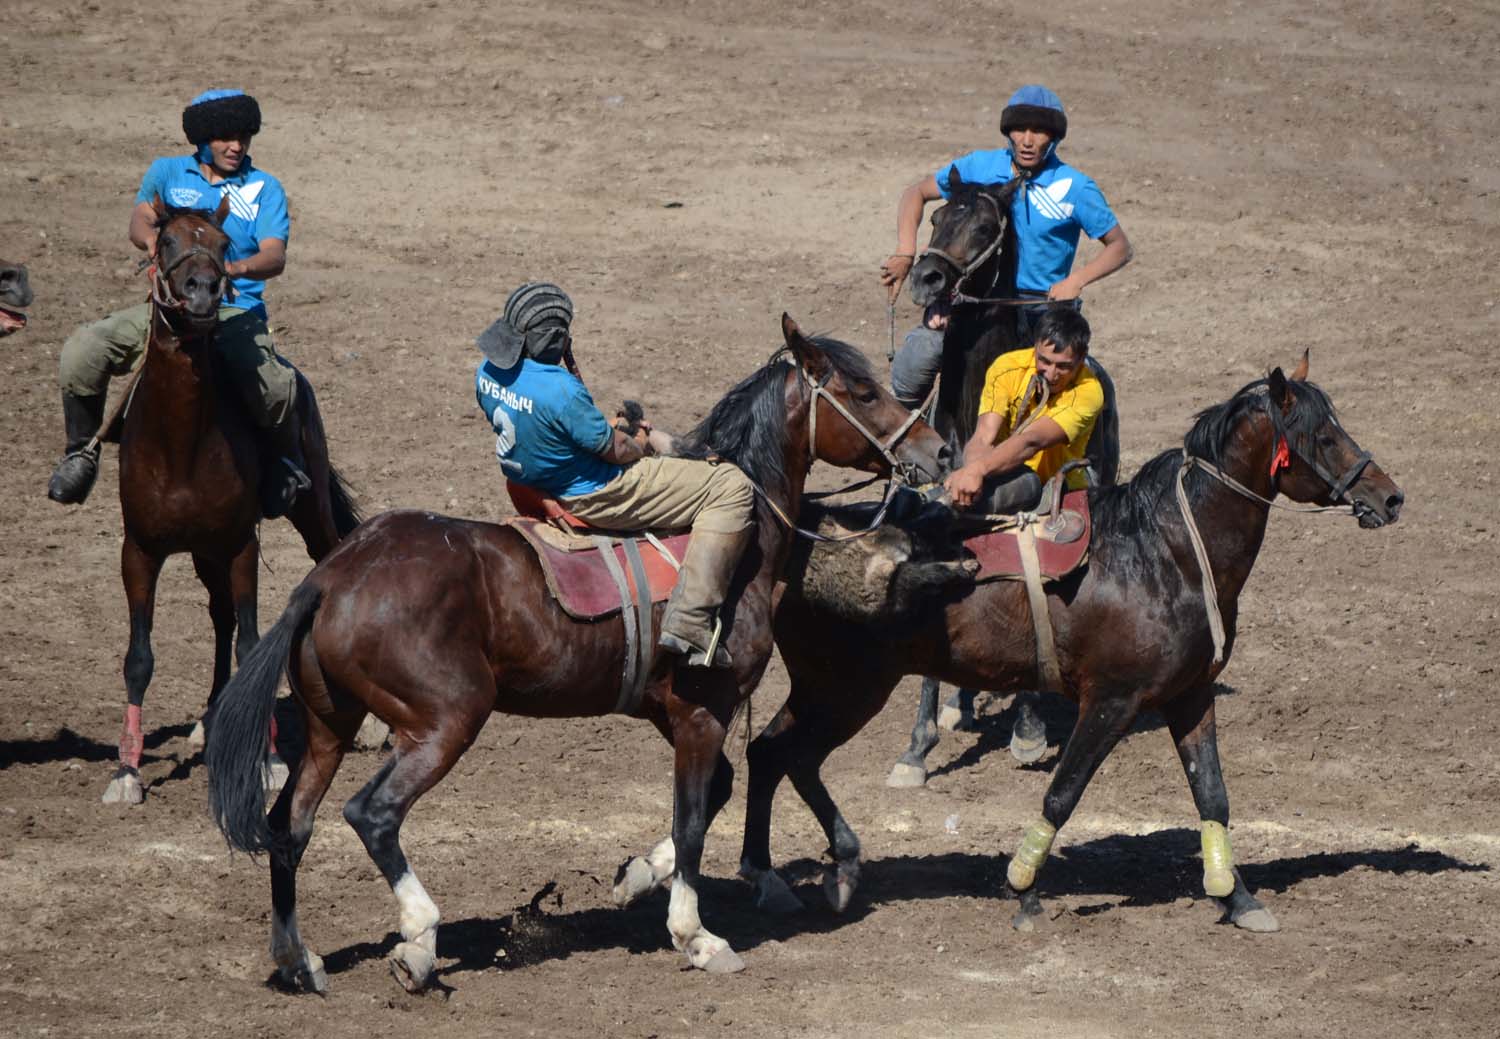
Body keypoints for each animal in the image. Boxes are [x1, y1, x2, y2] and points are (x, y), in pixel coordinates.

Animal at [105, 200, 360, 803]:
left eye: (223, 245)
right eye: (167, 242)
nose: (202, 290)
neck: (180, 442)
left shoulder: (242, 546)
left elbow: (251, 643)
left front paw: (270, 762)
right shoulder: (139, 551)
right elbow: (139, 658)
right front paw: (127, 771)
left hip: (305, 511)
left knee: (325, 555)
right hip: (204, 552)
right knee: (219, 615)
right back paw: (209, 720)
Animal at [205, 313, 942, 989]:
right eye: (864, 391)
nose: (934, 452)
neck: (745, 541)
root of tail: (333, 574)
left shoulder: (668, 709)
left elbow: (716, 794)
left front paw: (640, 873)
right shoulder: (703, 712)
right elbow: (695, 818)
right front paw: (696, 934)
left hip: (331, 724)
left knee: (289, 825)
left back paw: (298, 957)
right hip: (442, 722)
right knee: (373, 814)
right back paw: (418, 939)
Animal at [738, 355, 1404, 929]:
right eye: (1324, 437)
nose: (1390, 496)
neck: (1166, 554)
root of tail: (804, 538)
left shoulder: (1190, 695)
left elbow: (1212, 795)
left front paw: (1236, 898)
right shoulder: (1111, 701)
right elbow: (1063, 794)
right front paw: (1024, 889)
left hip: (833, 690)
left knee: (774, 755)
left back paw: (790, 877)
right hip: (845, 689)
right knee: (783, 754)